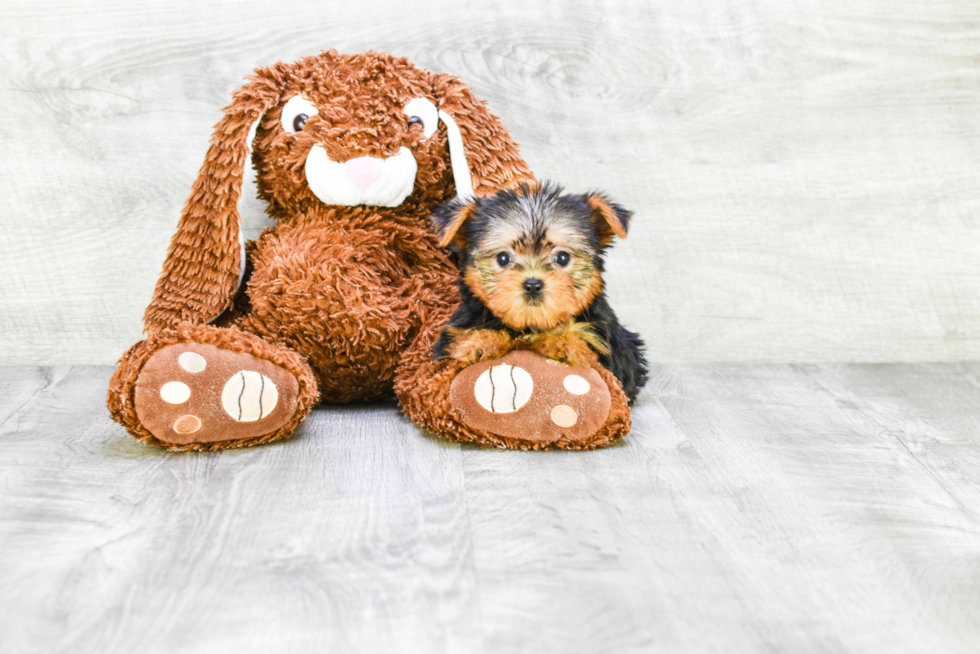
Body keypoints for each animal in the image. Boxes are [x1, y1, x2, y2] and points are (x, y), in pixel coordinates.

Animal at [430, 182, 648, 402]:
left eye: (562, 258)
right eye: (502, 258)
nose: (533, 284)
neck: (530, 325)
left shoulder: (612, 348)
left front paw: (564, 342)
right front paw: (479, 341)